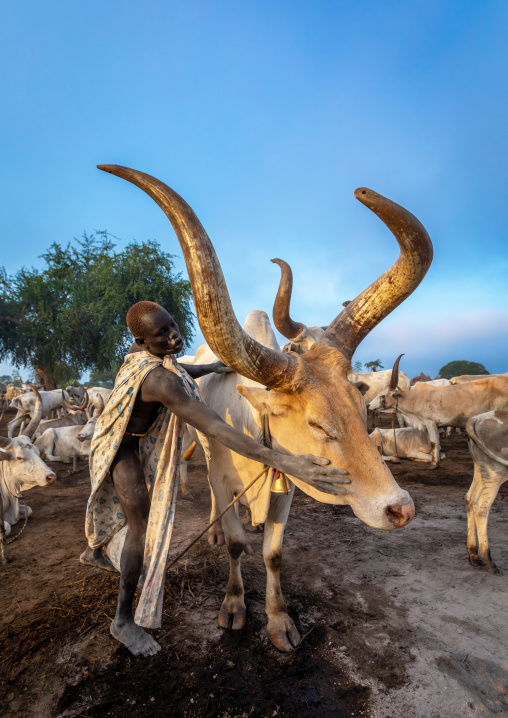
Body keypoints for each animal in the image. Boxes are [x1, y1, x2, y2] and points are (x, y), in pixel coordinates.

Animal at [369, 357, 508, 468]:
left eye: (382, 395)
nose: (369, 405)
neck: (415, 398)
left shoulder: (430, 422)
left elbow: (433, 442)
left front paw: (434, 464)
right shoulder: (435, 425)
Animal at [464, 410, 508, 574]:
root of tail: (476, 418)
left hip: (480, 468)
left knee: (470, 498)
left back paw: (474, 556)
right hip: (496, 472)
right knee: (482, 506)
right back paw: (489, 560)